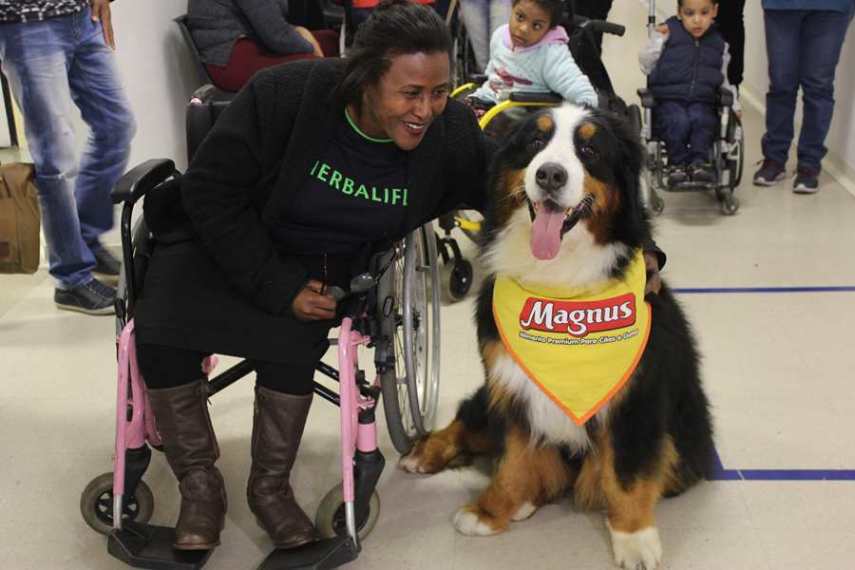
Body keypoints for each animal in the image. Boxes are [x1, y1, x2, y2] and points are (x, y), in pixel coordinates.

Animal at [402, 104, 716, 564]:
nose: (550, 174)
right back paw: (426, 453)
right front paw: (491, 509)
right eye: (535, 141)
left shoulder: (637, 399)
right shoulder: (511, 384)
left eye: (589, 149)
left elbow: (626, 471)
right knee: (467, 421)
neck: (560, 286)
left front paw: (634, 536)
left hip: (689, 439)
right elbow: (513, 460)